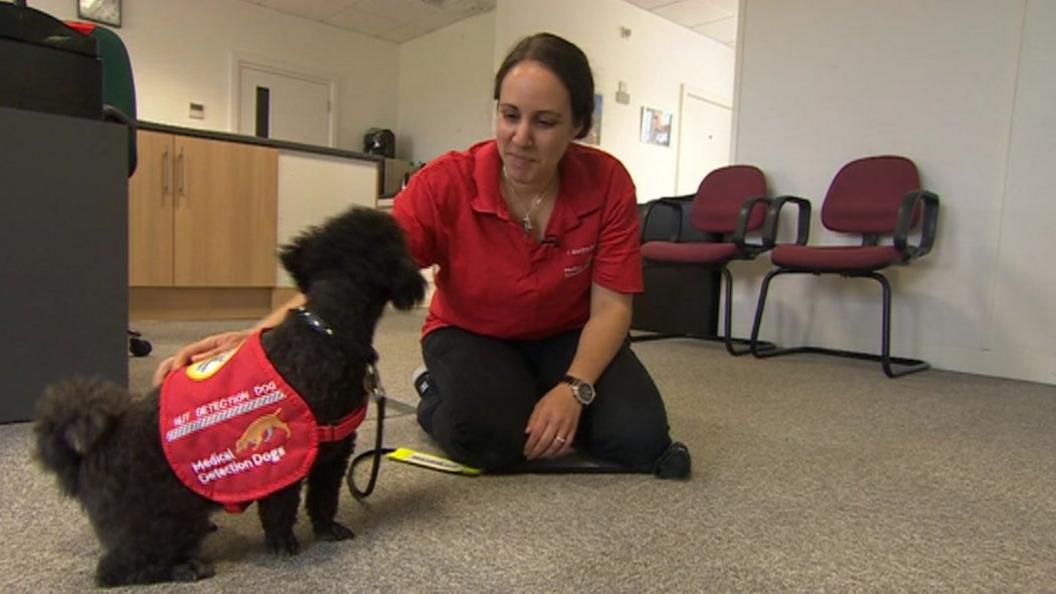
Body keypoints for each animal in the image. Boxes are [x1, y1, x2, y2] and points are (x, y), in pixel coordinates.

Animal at [31, 206, 424, 583]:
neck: (326, 329)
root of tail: (87, 459)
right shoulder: (286, 459)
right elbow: (281, 510)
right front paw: (283, 544)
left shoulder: (331, 454)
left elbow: (323, 499)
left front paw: (326, 530)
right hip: (167, 519)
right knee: (117, 570)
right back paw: (184, 569)